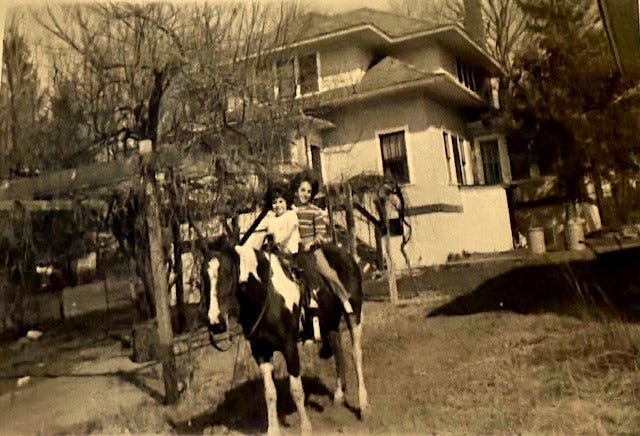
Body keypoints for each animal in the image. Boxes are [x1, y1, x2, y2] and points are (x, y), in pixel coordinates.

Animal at [200, 240, 370, 434]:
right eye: (203, 277)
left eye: (227, 272)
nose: (215, 322)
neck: (268, 296)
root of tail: (346, 255)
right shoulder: (261, 352)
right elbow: (270, 393)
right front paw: (273, 430)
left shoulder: (289, 346)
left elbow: (296, 390)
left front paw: (306, 428)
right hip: (330, 323)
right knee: (338, 351)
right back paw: (339, 397)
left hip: (354, 314)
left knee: (356, 354)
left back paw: (363, 406)